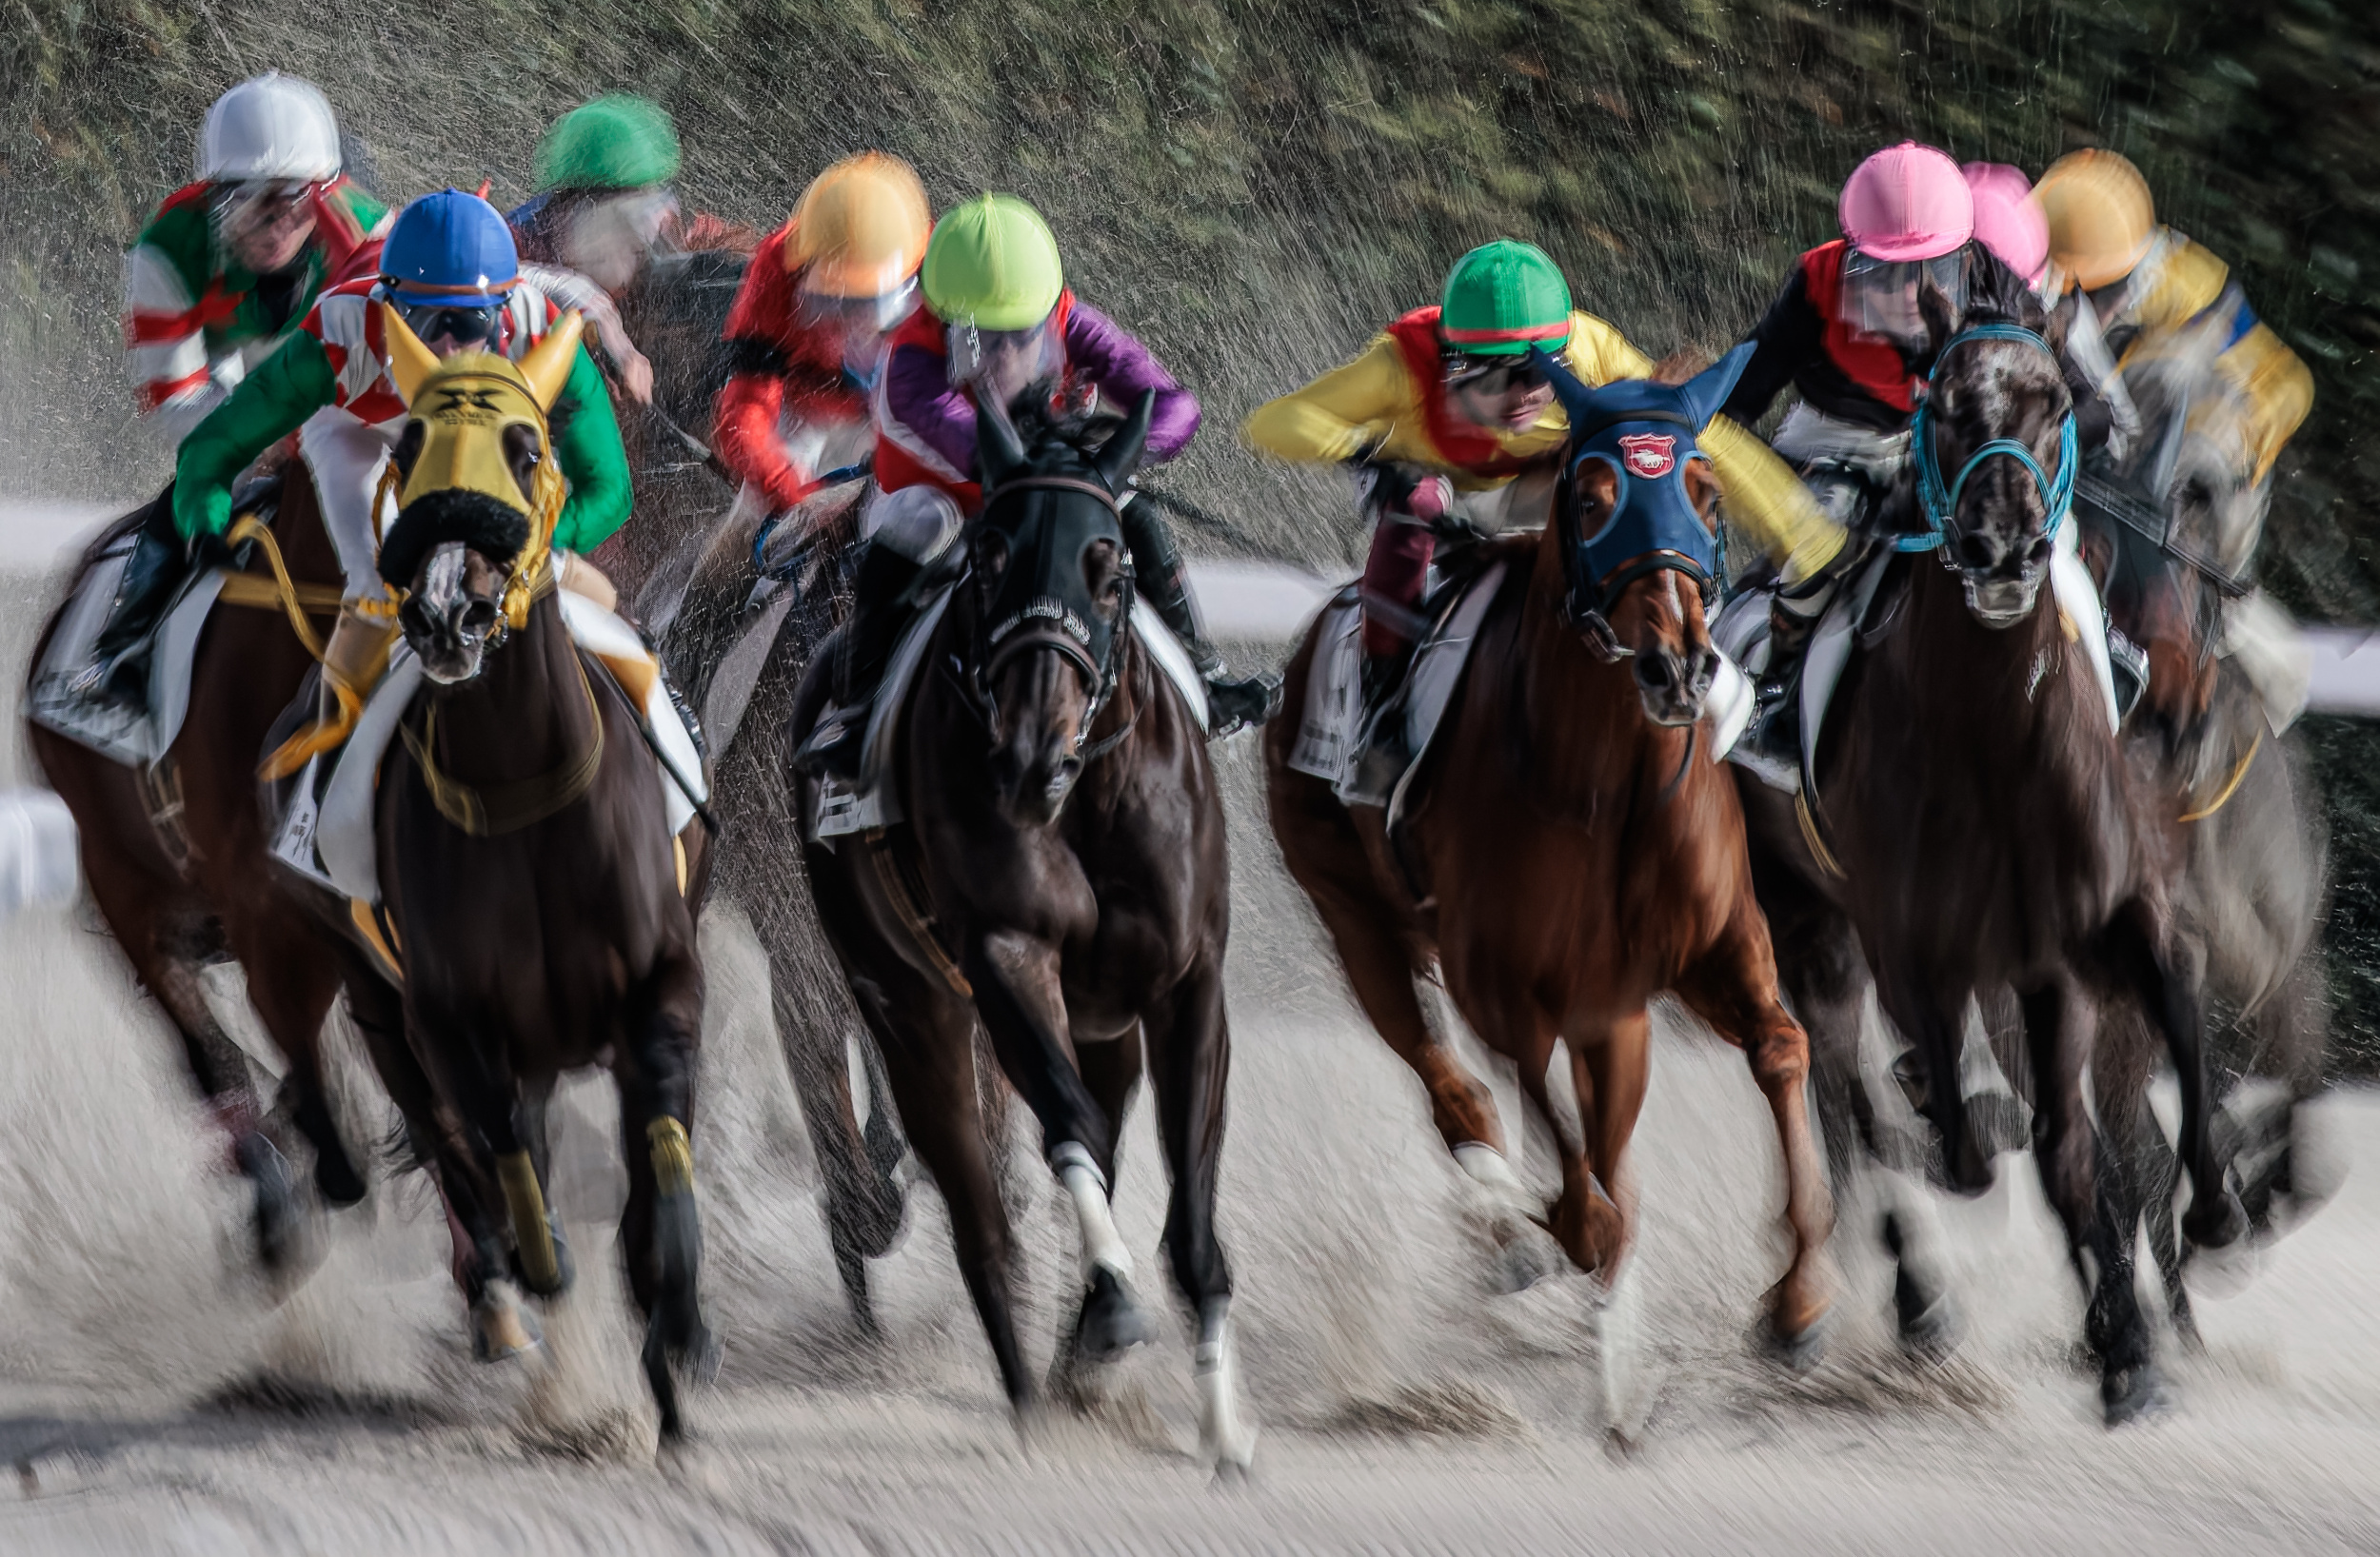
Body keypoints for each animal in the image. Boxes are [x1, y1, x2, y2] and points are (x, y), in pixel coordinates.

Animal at [364, 309, 715, 1442]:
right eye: (406, 447)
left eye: (526, 449)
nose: (447, 612)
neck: (521, 791)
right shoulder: (451, 1016)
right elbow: (507, 1156)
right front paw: (542, 1265)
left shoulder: (663, 985)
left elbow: (661, 1155)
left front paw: (678, 1331)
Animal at [788, 393, 1256, 1469]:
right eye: (992, 559)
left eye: (1112, 566)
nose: (1029, 756)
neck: (1087, 795)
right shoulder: (1005, 961)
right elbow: (1065, 1132)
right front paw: (1111, 1311)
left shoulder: (1186, 985)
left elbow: (1189, 1217)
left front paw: (1223, 1424)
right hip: (907, 1004)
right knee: (976, 1209)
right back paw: (1029, 1387)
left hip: (1104, 1021)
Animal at [1265, 347, 1837, 1434]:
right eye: (1593, 494)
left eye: (1703, 490)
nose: (1677, 667)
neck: (1602, 786)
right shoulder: (1506, 988)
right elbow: (1574, 1185)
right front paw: (1558, 1248)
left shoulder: (1698, 962)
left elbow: (1781, 1051)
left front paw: (1798, 1298)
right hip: (1355, 917)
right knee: (1456, 1095)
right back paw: (1511, 1234)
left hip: (1611, 1009)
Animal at [1737, 306, 2247, 1425]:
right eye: (1942, 404)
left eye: (2056, 402)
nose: (2002, 548)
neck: (1994, 740)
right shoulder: (1913, 949)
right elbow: (1978, 1151)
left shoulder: (2091, 934)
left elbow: (2129, 1081)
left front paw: (2151, 1313)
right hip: (1807, 920)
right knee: (1842, 1096)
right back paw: (1900, 1293)